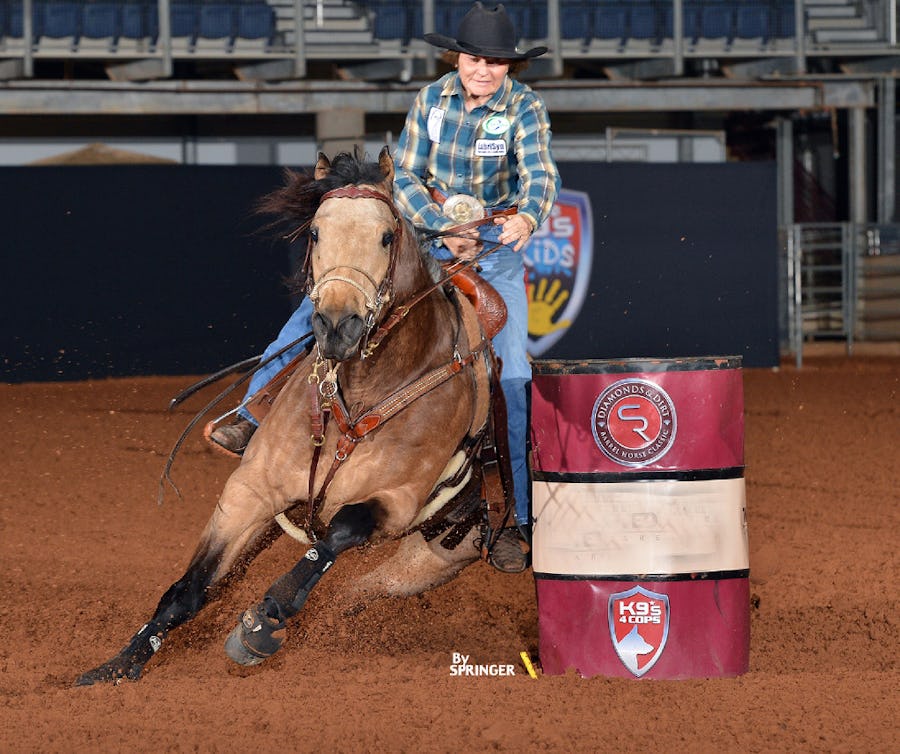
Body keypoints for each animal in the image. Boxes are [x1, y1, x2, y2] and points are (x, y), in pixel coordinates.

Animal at [75, 145, 512, 680]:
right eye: (315, 231)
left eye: (386, 236)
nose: (337, 325)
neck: (361, 396)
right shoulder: (252, 489)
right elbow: (190, 587)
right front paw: (116, 667)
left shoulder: (397, 500)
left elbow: (337, 533)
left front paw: (262, 623)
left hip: (440, 552)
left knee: (357, 587)